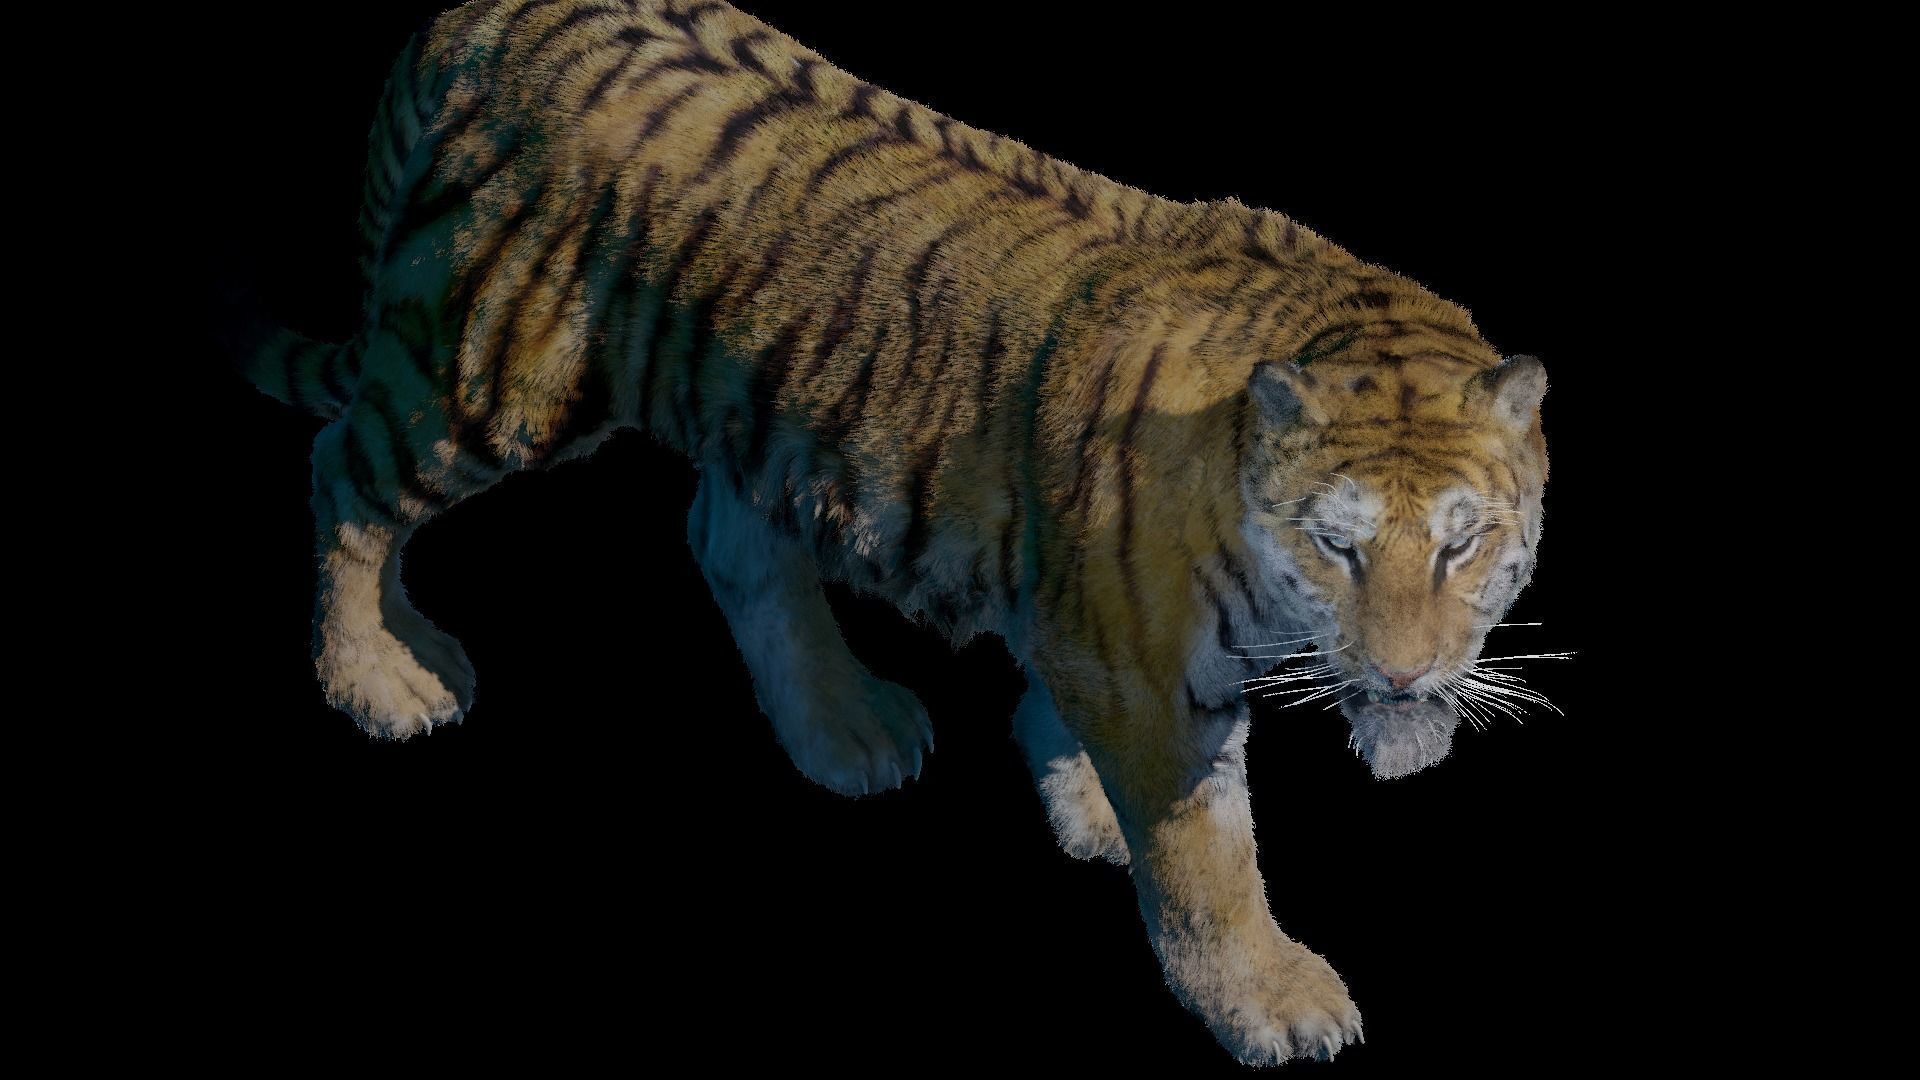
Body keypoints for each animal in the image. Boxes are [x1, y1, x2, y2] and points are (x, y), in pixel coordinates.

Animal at [230, 0, 1553, 1066]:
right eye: (1339, 546)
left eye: (1460, 544)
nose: (1406, 676)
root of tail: (484, 16)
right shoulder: (1146, 671)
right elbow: (1207, 861)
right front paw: (1269, 999)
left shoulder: (1080, 617)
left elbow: (1066, 718)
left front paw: (1082, 808)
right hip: (490, 381)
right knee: (344, 472)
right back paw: (379, 677)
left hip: (754, 401)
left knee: (726, 541)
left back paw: (844, 728)